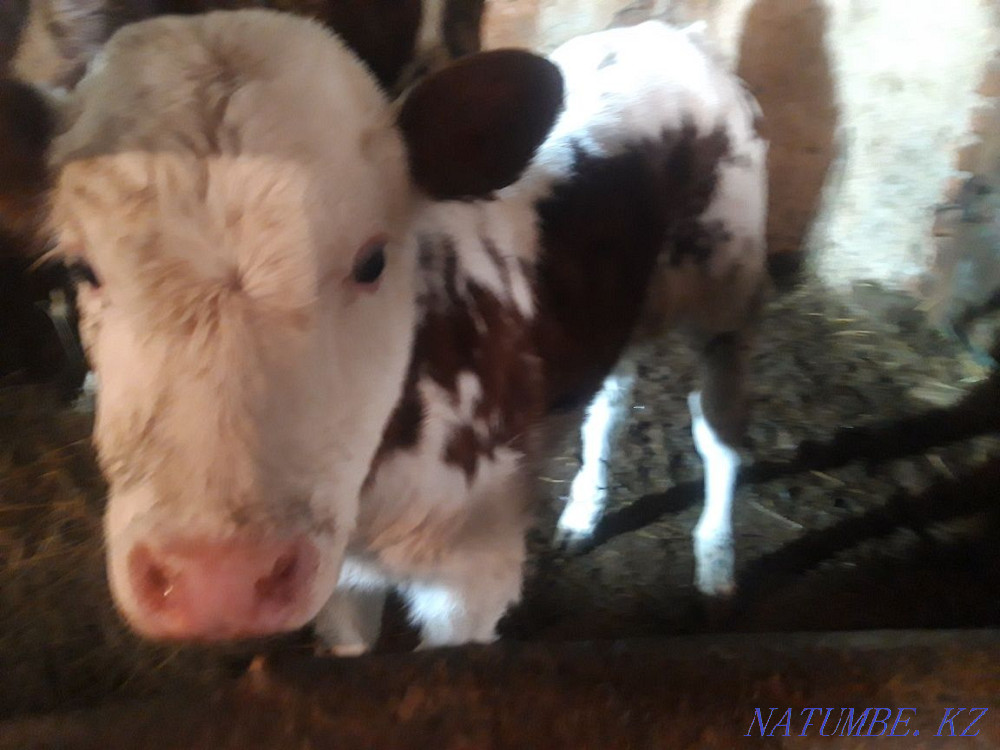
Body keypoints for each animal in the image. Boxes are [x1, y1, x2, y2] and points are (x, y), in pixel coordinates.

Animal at [0, 9, 767, 649]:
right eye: (79, 268)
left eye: (373, 260)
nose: (217, 581)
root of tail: (667, 33)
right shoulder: (337, 582)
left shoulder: (473, 578)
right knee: (611, 395)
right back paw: (583, 514)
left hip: (725, 285)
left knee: (719, 433)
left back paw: (716, 568)